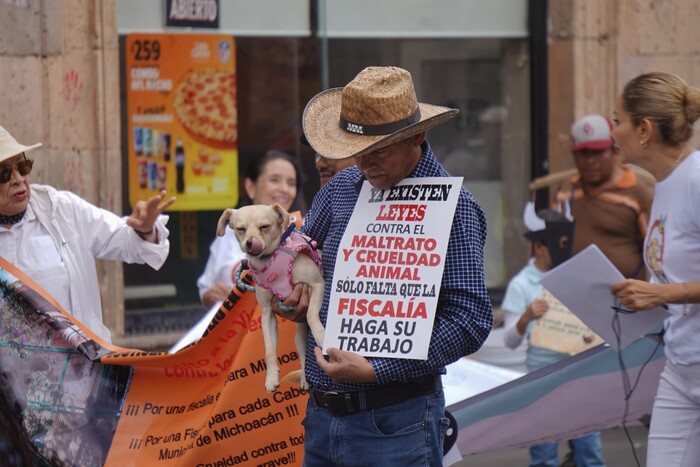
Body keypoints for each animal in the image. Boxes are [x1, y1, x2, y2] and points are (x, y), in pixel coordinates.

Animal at [216, 207, 326, 394]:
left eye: (265, 226)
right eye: (240, 229)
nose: (250, 243)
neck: (269, 260)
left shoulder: (318, 285)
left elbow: (311, 314)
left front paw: (320, 334)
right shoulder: (268, 313)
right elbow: (268, 349)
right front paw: (272, 377)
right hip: (299, 340)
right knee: (304, 358)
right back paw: (305, 379)